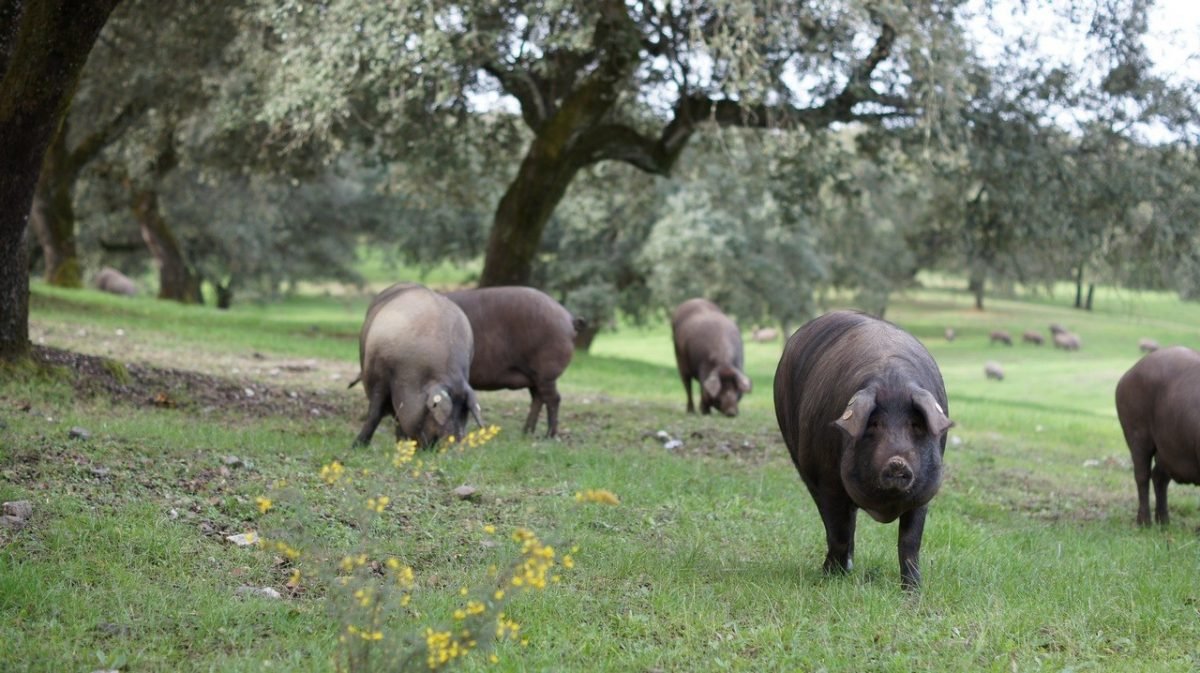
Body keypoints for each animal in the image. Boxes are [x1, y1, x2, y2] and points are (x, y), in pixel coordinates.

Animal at [350, 282, 482, 448]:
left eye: (464, 412)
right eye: (434, 411)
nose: (456, 444)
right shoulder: (380, 373)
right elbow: (375, 413)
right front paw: (356, 447)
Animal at [444, 286, 578, 437]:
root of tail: (569, 319)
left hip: (546, 371)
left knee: (553, 399)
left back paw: (549, 435)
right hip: (535, 376)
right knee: (538, 398)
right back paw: (526, 433)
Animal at [774, 310, 952, 589]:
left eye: (915, 424)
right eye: (874, 424)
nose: (897, 461)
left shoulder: (924, 492)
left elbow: (910, 542)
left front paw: (912, 590)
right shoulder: (828, 481)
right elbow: (838, 531)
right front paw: (832, 579)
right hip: (803, 463)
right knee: (837, 524)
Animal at [1115, 346, 1200, 526]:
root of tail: (1128, 373)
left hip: (1168, 448)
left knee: (1159, 477)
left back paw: (1164, 522)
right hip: (1137, 435)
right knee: (1142, 476)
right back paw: (1144, 523)